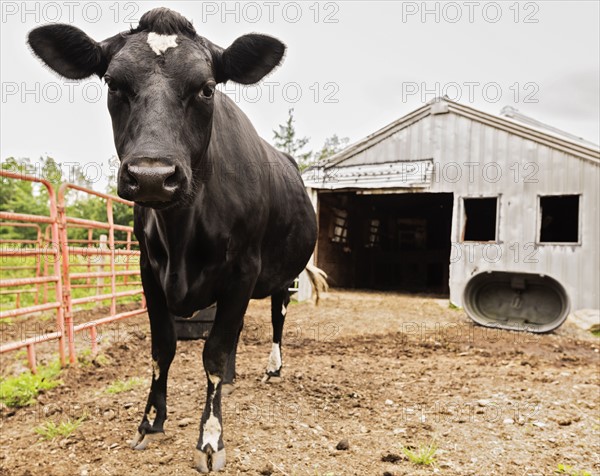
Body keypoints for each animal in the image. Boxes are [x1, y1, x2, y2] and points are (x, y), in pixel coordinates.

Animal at [28, 7, 326, 472]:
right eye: (113, 83)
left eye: (206, 88)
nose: (152, 176)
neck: (183, 228)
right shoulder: (149, 269)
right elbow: (163, 347)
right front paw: (150, 421)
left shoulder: (244, 269)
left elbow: (214, 353)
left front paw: (211, 438)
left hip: (282, 275)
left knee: (277, 318)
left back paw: (273, 368)